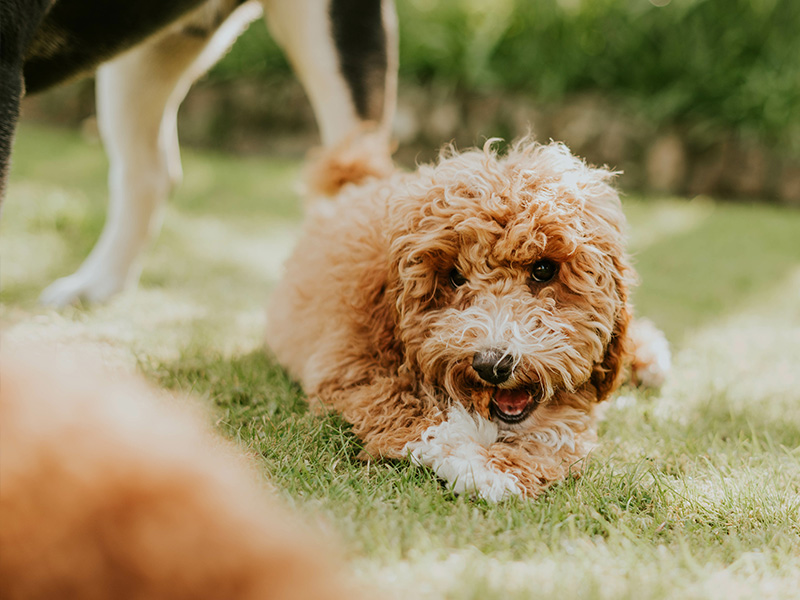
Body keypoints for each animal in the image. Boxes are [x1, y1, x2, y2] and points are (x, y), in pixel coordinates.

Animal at [268, 139, 668, 502]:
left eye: (543, 269)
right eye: (455, 277)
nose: (492, 365)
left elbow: (562, 430)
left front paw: (508, 463)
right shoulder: (351, 371)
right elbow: (413, 414)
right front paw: (482, 462)